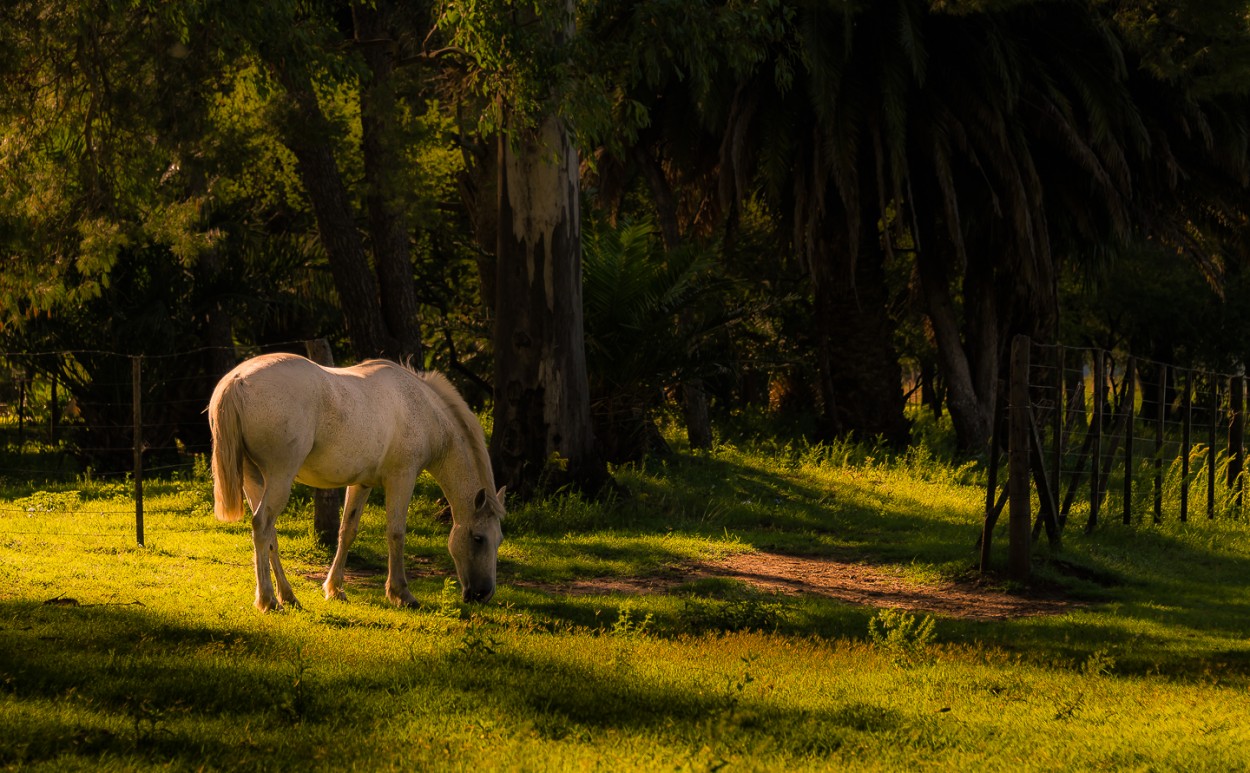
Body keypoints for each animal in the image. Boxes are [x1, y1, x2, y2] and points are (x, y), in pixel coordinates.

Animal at [207, 352, 505, 610]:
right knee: (262, 525)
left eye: (499, 539)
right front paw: (401, 593)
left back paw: (288, 596)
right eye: (478, 538)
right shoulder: (402, 478)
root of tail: (237, 380)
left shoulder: (361, 484)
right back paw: (269, 600)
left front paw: (335, 589)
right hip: (280, 477)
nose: (483, 594)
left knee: (270, 534)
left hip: (255, 479)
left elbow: (347, 531)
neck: (420, 408)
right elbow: (396, 533)